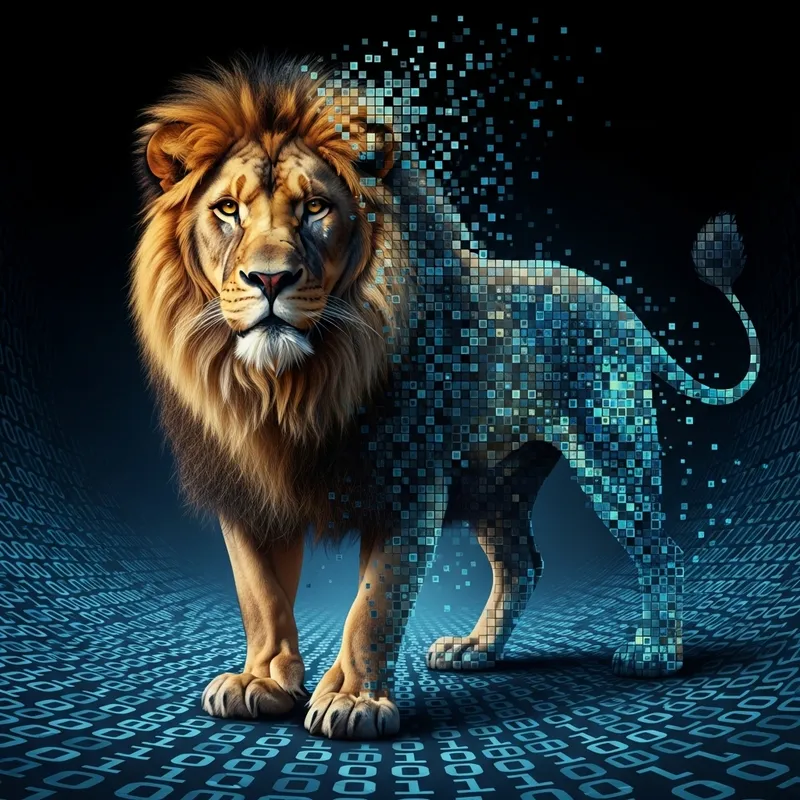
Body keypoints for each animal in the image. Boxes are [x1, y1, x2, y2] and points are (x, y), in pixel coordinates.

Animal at [130, 54, 761, 741]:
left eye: (316, 207)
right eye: (226, 210)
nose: (270, 279)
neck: (287, 388)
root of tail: (621, 306)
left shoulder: (409, 483)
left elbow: (373, 605)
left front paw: (352, 701)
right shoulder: (244, 487)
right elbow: (260, 595)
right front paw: (262, 683)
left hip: (613, 452)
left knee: (662, 549)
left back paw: (655, 652)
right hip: (497, 483)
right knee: (522, 563)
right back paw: (475, 650)